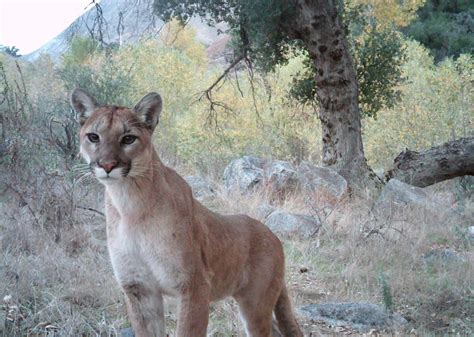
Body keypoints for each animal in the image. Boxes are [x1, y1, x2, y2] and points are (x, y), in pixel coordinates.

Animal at [70, 88, 302, 334]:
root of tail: (273, 235)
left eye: (128, 138)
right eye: (94, 137)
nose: (107, 165)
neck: (129, 203)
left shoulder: (194, 286)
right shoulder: (139, 288)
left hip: (256, 304)